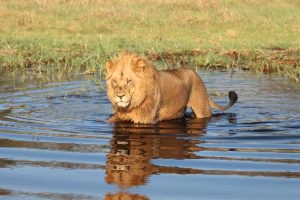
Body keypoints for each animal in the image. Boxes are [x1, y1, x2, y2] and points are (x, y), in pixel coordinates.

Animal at [105, 52, 237, 123]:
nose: (119, 96)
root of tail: (196, 75)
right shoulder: (119, 116)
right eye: (114, 82)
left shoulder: (145, 119)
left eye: (129, 81)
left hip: (202, 110)